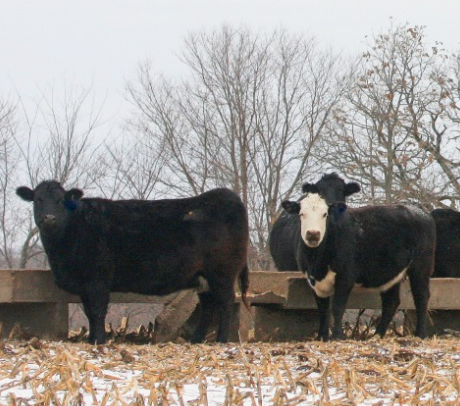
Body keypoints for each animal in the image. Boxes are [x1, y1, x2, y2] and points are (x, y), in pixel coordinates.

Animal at [16, 182, 250, 344]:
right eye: (38, 199)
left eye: (61, 200)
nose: (49, 218)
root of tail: (227, 196)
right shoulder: (84, 284)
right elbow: (89, 312)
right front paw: (92, 339)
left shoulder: (97, 280)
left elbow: (97, 311)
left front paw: (98, 341)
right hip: (203, 277)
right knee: (209, 307)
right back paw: (196, 340)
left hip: (222, 273)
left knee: (225, 303)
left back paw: (221, 340)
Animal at [280, 178, 434, 340]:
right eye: (302, 214)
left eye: (324, 214)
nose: (313, 234)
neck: (317, 262)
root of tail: (417, 208)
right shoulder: (313, 280)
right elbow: (322, 309)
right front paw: (321, 336)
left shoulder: (346, 276)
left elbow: (337, 307)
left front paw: (337, 336)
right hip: (392, 272)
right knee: (391, 301)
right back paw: (378, 335)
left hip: (421, 266)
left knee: (421, 296)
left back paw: (420, 334)